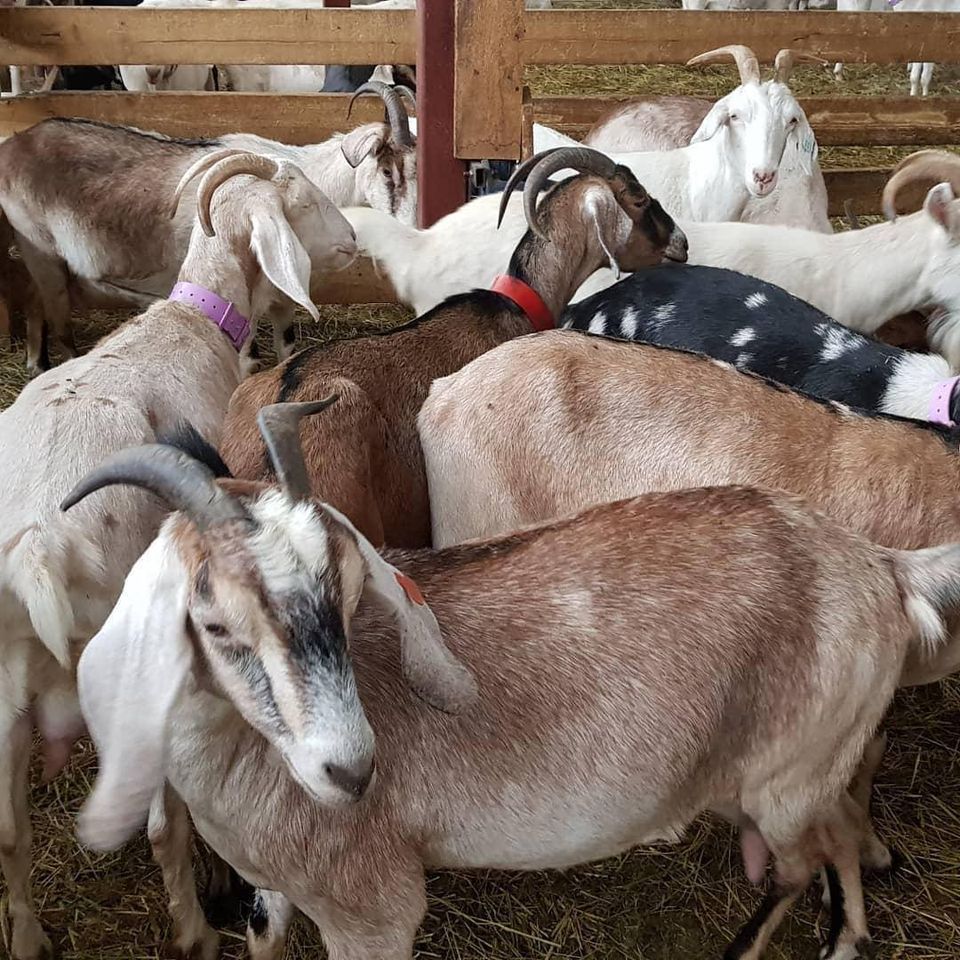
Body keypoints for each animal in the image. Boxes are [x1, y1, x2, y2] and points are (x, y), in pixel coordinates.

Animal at [0, 80, 412, 374]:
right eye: (388, 170)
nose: (413, 227)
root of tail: (15, 143)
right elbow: (250, 362)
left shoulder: (281, 300)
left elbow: (286, 350)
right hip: (40, 247)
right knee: (57, 318)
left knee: (33, 295)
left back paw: (36, 361)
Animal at [0, 152, 355, 960]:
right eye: (304, 198)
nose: (355, 240)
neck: (194, 320)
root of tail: (40, 546)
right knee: (163, 825)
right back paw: (194, 926)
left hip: (0, 683)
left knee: (9, 833)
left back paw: (29, 938)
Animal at [67, 401, 960, 960]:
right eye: (215, 625)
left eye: (350, 595)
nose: (350, 769)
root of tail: (880, 567)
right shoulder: (274, 891)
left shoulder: (372, 908)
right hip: (800, 765)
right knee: (838, 826)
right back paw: (848, 932)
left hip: (786, 774)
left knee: (798, 864)